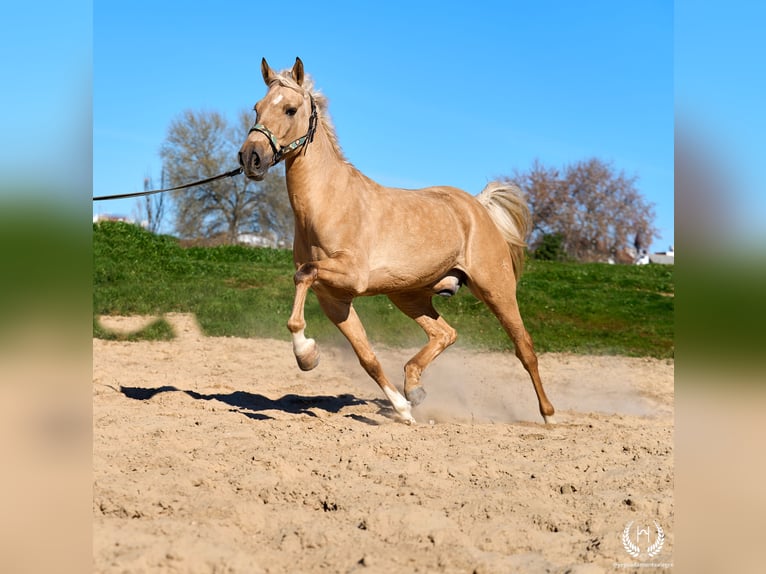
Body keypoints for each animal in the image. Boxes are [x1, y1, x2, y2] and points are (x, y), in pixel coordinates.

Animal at [238, 57, 555, 425]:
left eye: (290, 109)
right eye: (257, 107)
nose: (250, 157)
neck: (329, 204)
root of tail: (477, 206)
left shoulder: (350, 276)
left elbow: (303, 276)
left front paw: (306, 355)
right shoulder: (335, 299)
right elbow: (367, 358)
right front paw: (403, 410)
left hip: (495, 289)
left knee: (525, 348)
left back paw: (549, 416)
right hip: (408, 295)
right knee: (445, 333)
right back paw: (414, 389)